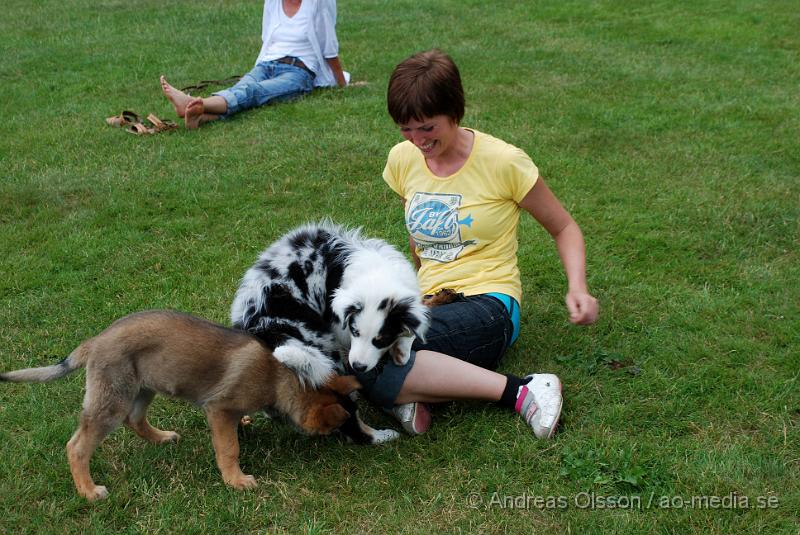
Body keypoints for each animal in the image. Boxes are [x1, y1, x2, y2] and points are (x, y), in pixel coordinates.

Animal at [0, 312, 356, 500]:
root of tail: (94, 342)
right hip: (111, 402)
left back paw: (162, 438)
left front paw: (245, 425)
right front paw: (235, 480)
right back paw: (88, 490)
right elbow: (229, 448)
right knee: (77, 446)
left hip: (144, 388)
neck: (279, 377)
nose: (343, 442)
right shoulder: (219, 409)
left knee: (135, 420)